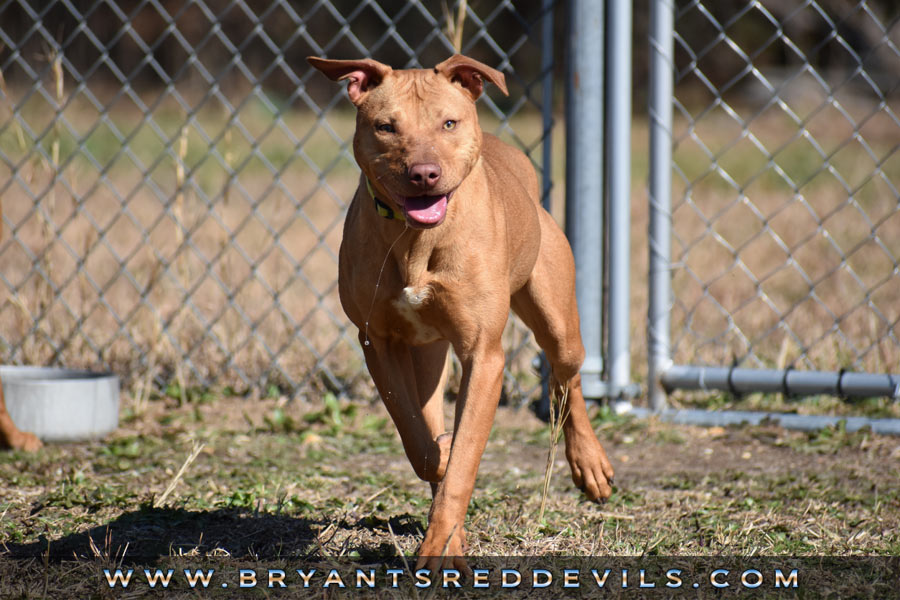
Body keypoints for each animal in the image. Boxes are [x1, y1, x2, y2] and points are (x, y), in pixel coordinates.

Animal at [308, 54, 612, 568]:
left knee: (566, 377)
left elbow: (464, 458)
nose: (424, 173)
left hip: (558, 323)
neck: (417, 240)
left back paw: (589, 464)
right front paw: (443, 478)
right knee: (431, 416)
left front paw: (441, 549)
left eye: (448, 123)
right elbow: (419, 438)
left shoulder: (484, 356)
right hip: (427, 354)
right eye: (386, 126)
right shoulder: (378, 344)